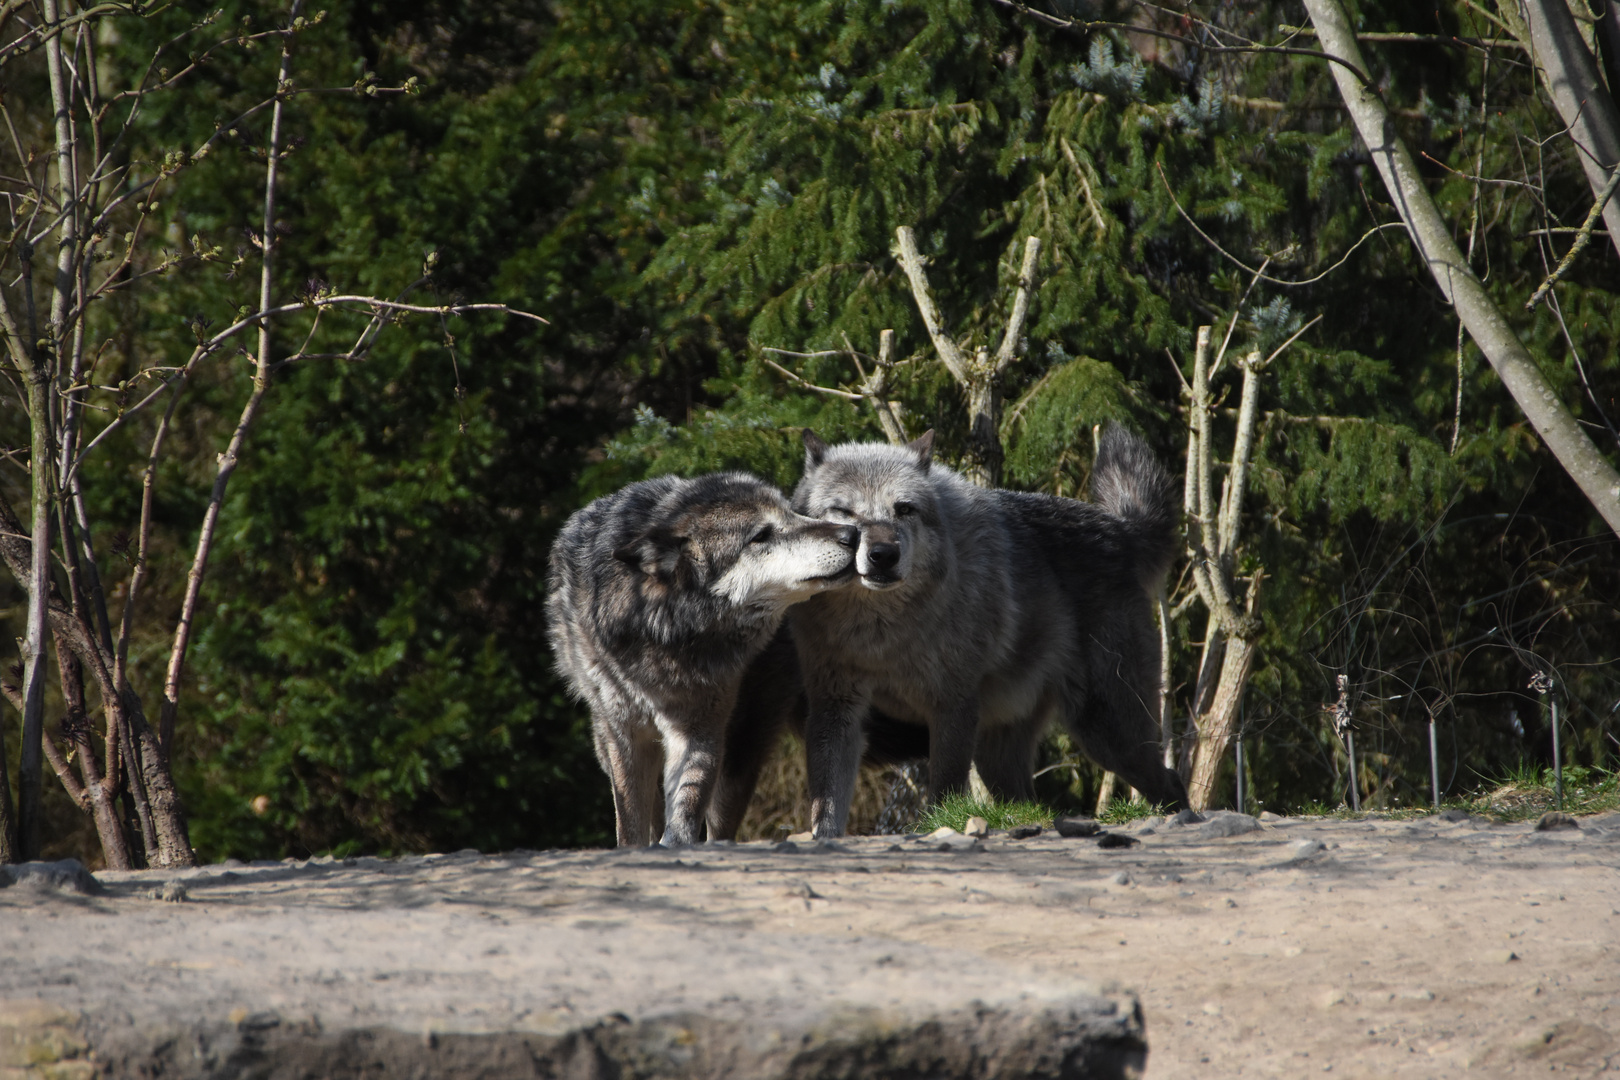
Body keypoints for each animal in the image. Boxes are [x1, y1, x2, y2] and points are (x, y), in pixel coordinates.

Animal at [550, 476, 861, 848]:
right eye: (761, 535)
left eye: (792, 514)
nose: (853, 534)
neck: (667, 633)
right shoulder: (626, 736)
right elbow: (631, 827)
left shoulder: (701, 727)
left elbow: (686, 808)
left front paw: (676, 846)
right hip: (607, 742)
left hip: (741, 743)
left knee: (719, 823)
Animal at [787, 424, 1192, 835]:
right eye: (843, 511)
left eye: (904, 509)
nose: (883, 554)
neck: (882, 636)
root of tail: (1121, 530)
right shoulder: (834, 705)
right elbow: (827, 799)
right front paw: (824, 838)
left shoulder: (953, 705)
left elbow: (945, 788)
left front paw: (938, 827)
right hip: (1001, 752)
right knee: (1026, 801)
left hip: (1106, 732)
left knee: (1170, 779)